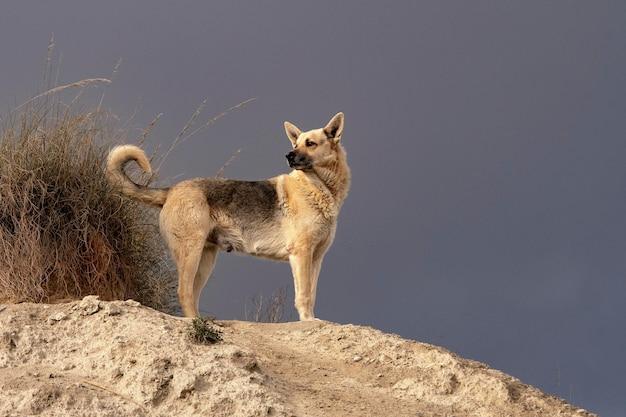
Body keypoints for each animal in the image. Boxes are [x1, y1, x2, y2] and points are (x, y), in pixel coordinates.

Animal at [107, 112, 352, 320]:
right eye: (296, 144)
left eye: (310, 143)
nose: (289, 156)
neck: (319, 188)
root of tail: (172, 190)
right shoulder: (301, 254)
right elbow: (304, 296)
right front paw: (308, 321)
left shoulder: (316, 258)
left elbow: (311, 293)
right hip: (191, 253)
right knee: (184, 292)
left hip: (205, 261)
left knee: (192, 295)